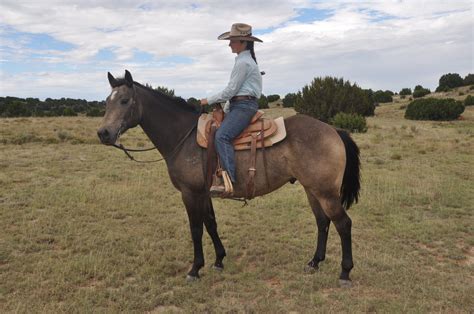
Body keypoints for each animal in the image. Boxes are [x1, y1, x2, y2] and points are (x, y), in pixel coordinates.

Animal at [98, 70, 362, 286]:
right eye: (106, 102)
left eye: (124, 100)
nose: (103, 133)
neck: (183, 137)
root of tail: (333, 130)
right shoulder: (204, 193)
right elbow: (211, 224)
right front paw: (218, 260)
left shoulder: (190, 193)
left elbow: (196, 228)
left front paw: (195, 269)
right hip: (312, 190)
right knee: (323, 222)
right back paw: (314, 262)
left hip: (325, 192)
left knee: (343, 223)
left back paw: (345, 273)